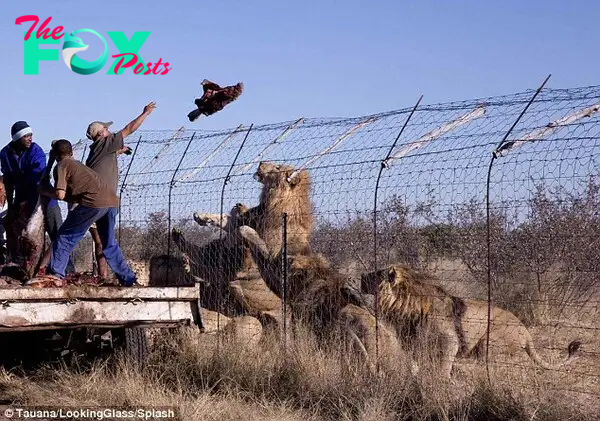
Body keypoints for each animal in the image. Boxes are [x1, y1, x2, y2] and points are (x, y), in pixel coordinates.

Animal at [358, 262, 584, 378]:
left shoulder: (450, 341)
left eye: (375, 274)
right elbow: (415, 365)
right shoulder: (413, 343)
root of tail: (526, 331)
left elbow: (443, 369)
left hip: (490, 342)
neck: (404, 303)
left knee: (488, 367)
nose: (360, 276)